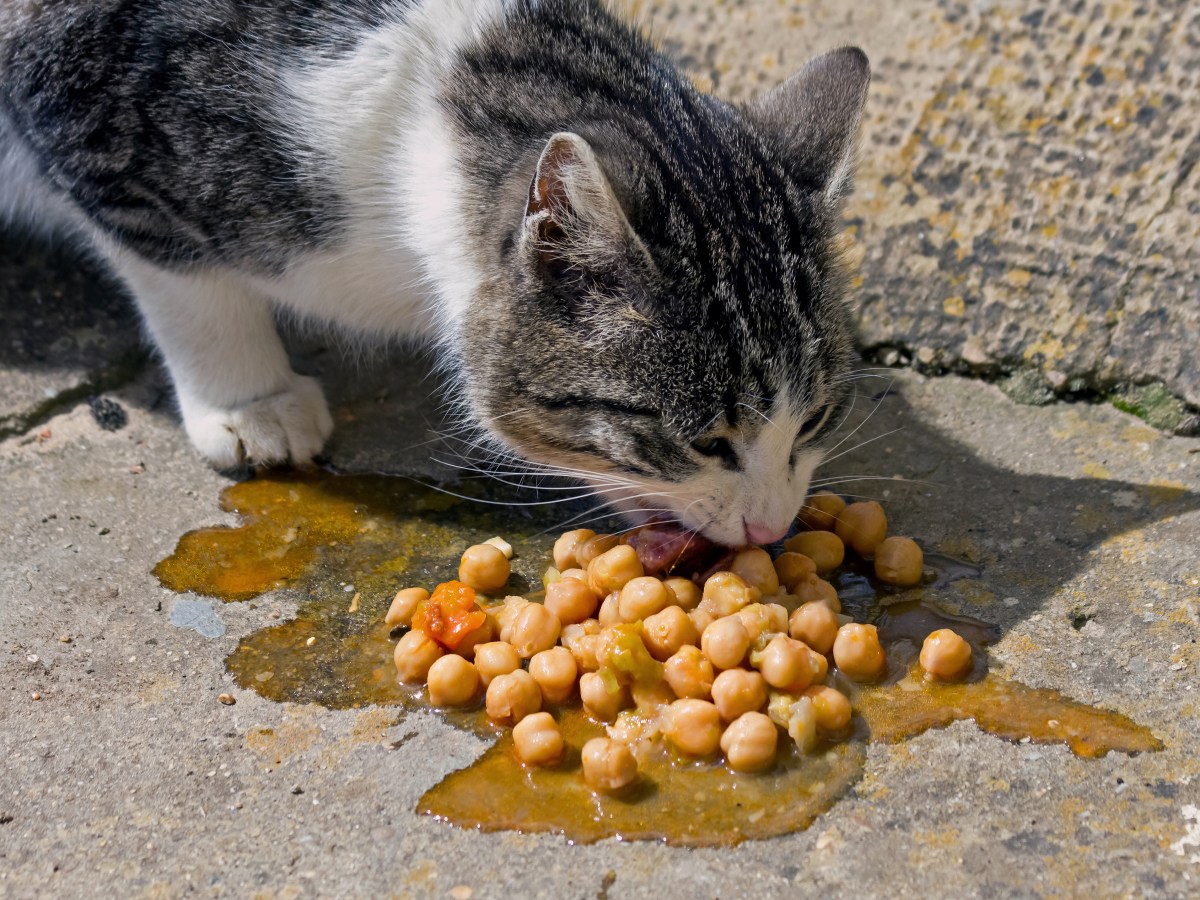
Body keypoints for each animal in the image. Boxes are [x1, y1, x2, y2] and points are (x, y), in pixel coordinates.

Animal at [0, 1, 868, 549]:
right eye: (707, 442)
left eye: (816, 420)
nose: (771, 529)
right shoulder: (89, 117)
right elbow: (183, 279)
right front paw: (251, 401)